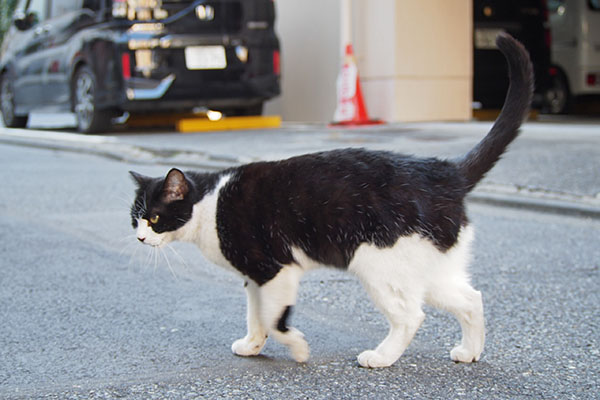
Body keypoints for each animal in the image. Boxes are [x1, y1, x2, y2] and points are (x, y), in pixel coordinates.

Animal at [129, 33, 532, 368]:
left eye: (154, 218)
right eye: (134, 219)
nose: (140, 238)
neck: (210, 206)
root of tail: (446, 172)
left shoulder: (275, 269)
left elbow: (274, 318)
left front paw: (298, 349)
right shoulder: (256, 278)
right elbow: (256, 315)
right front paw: (252, 345)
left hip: (379, 266)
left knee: (411, 316)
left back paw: (381, 358)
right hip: (428, 268)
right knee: (471, 299)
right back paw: (470, 352)